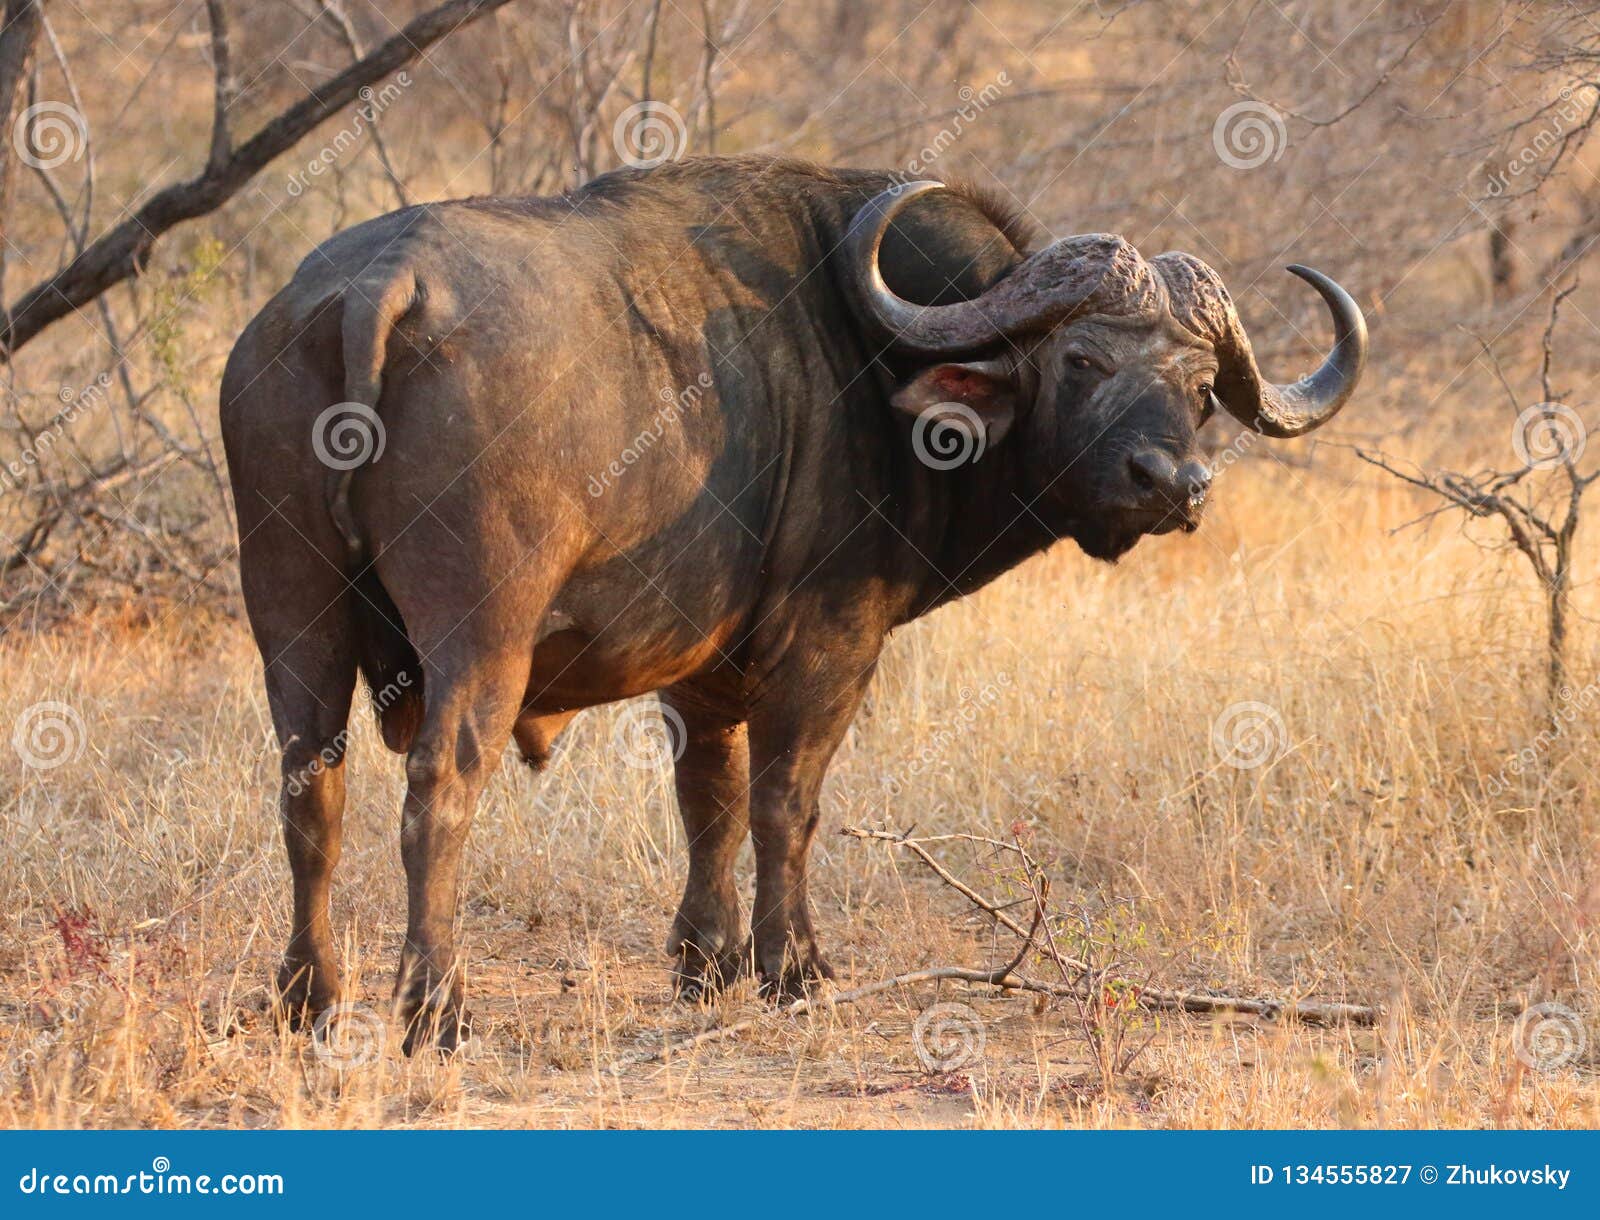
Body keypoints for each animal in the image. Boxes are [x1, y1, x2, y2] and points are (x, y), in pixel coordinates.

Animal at [222, 154, 1363, 1043]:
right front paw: (793, 967)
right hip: (480, 630)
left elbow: (709, 800)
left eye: (1202, 388)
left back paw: (309, 995)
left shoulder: (697, 668)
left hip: (291, 610)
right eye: (1081, 358)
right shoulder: (827, 645)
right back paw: (436, 1008)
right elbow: (787, 802)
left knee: (310, 789)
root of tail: (383, 283)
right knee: (440, 789)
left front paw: (704, 961)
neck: (869, 361)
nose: (1172, 483)